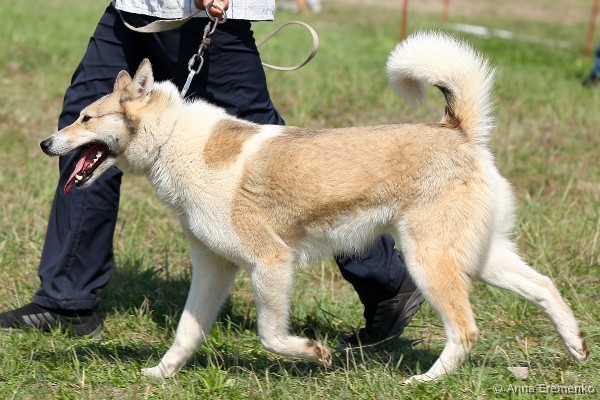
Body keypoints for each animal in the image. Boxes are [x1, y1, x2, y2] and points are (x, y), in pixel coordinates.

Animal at [40, 31, 589, 382]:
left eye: (85, 118)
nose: (46, 143)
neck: (175, 139)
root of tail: (456, 128)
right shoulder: (213, 268)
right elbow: (186, 333)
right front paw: (160, 374)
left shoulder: (271, 263)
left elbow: (270, 334)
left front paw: (312, 354)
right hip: (477, 256)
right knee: (544, 287)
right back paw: (578, 347)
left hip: (429, 260)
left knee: (466, 330)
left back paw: (424, 383)